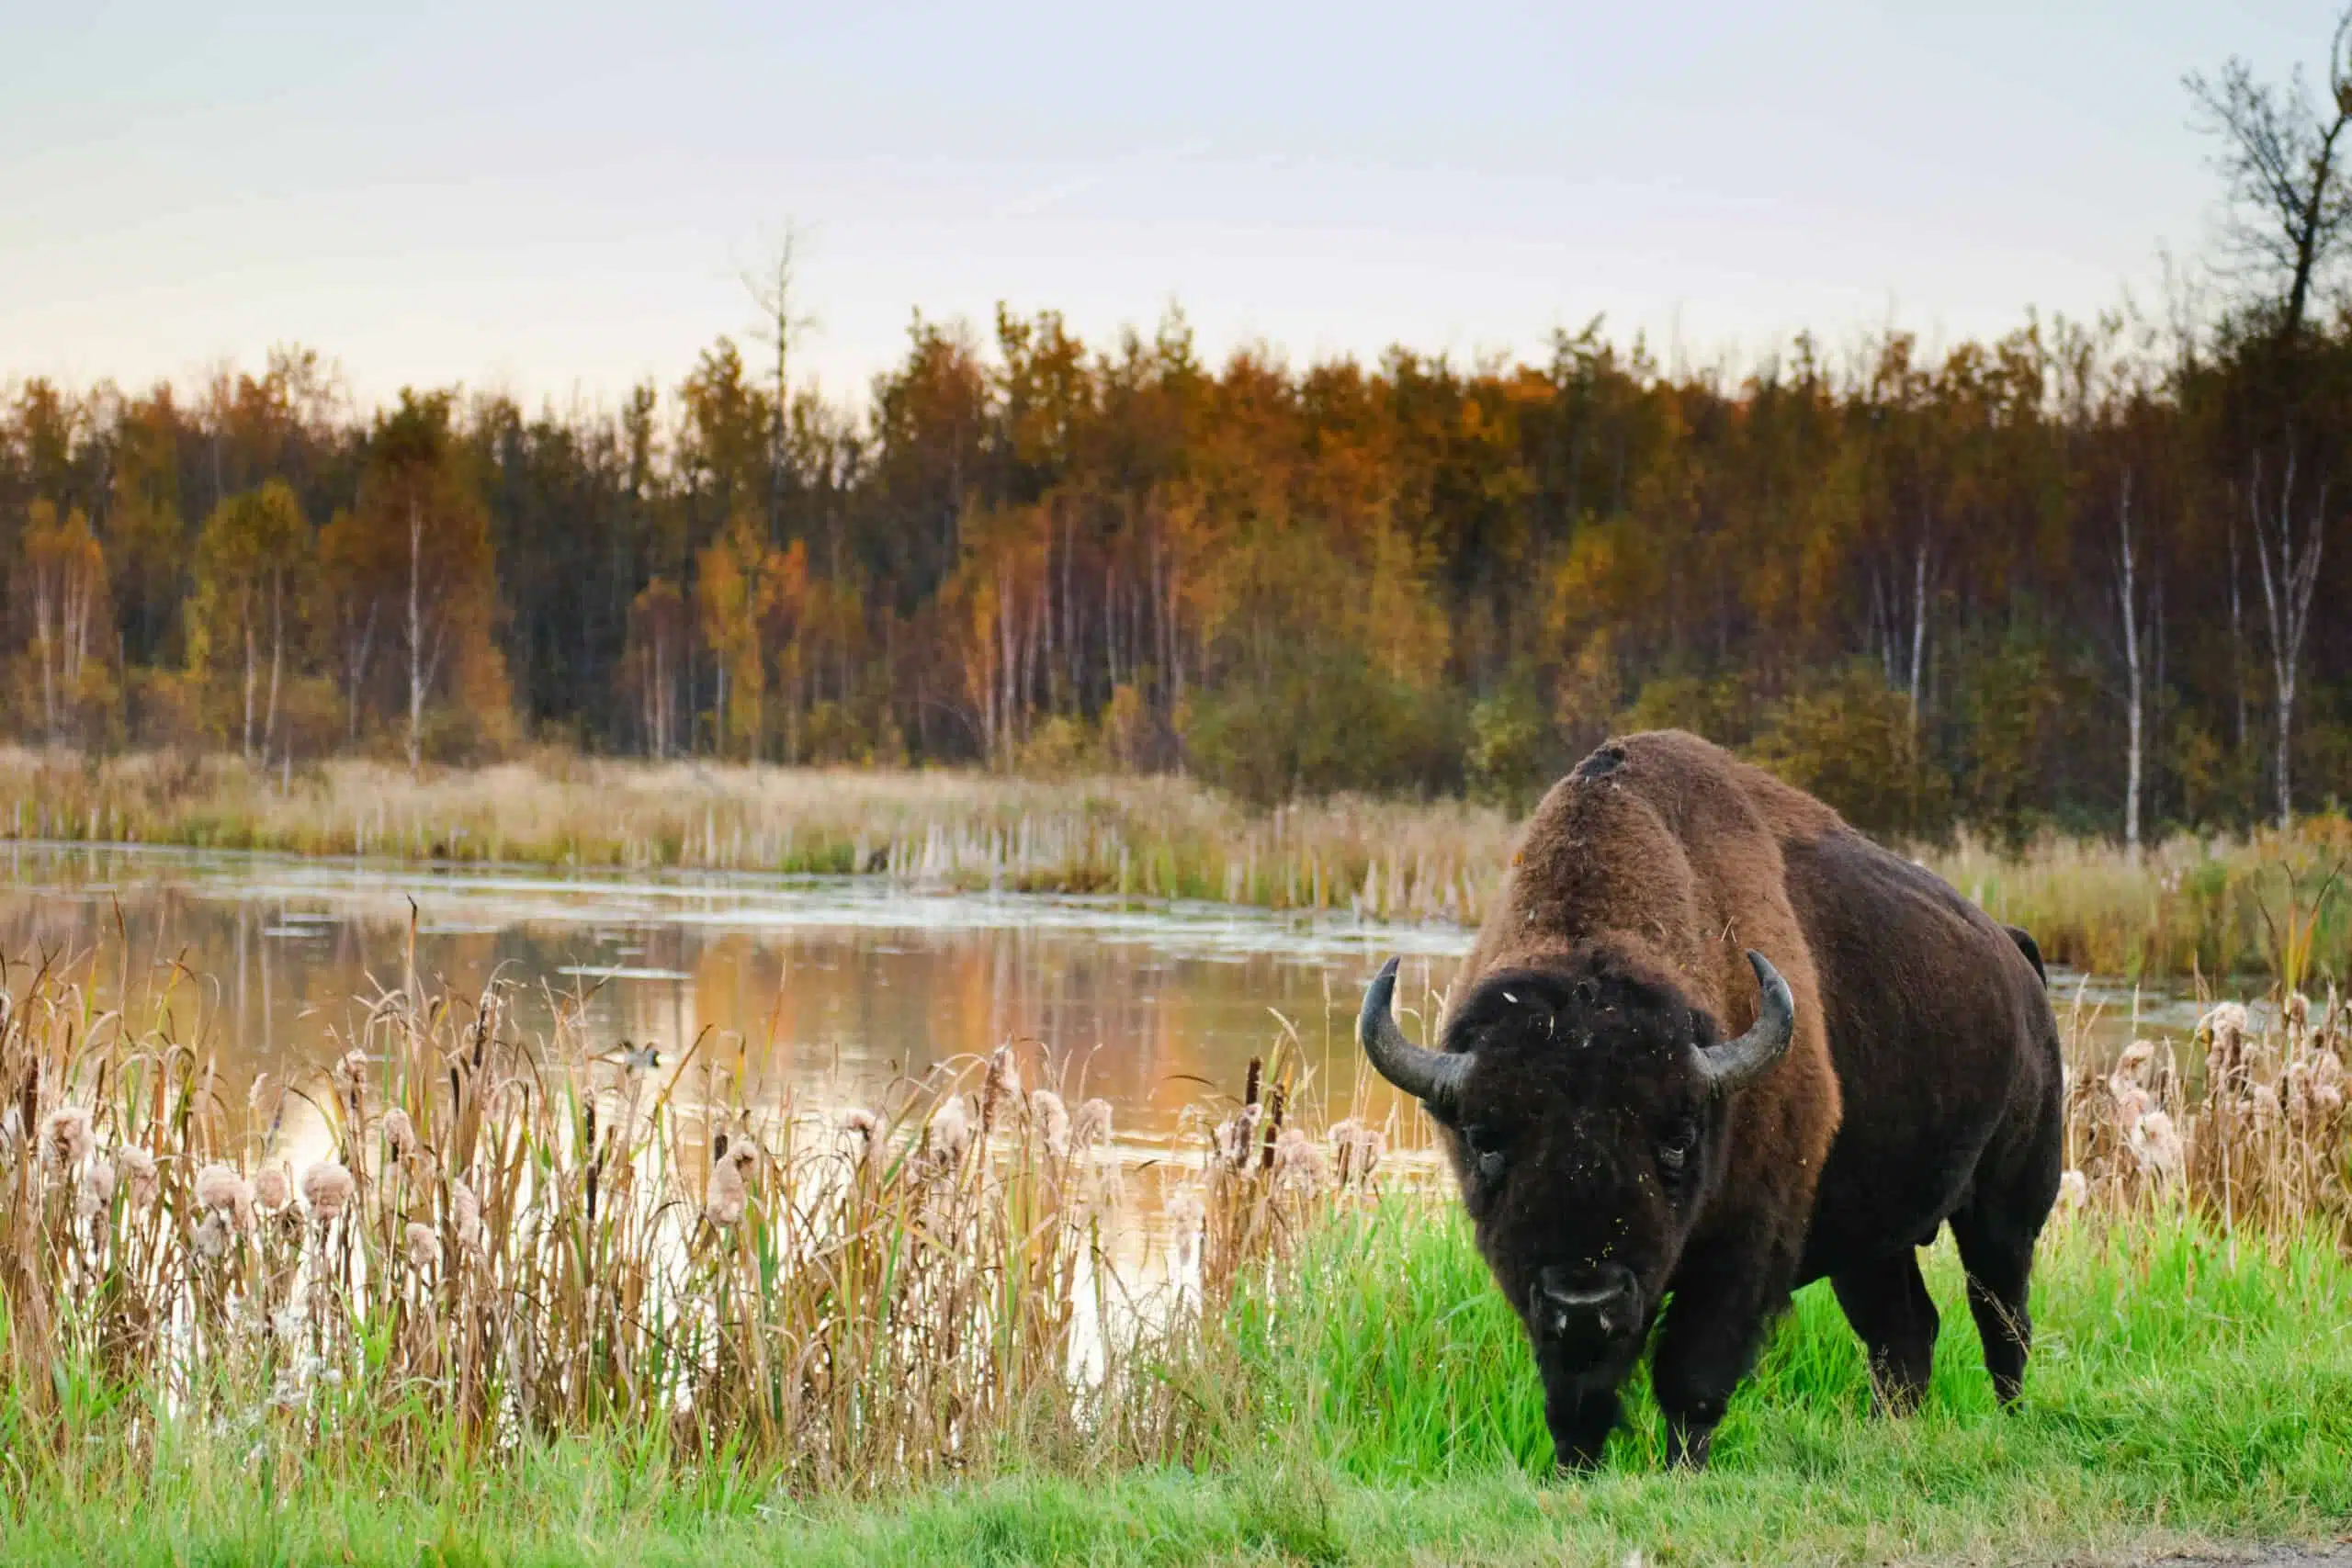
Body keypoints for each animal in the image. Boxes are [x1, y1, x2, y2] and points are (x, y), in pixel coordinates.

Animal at [1363, 733, 2060, 1476]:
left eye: (1677, 1135)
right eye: (1485, 1139)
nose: (1586, 1299)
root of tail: (2016, 955)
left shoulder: (1741, 1248)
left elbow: (1692, 1375)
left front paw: (1682, 1469)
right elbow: (1576, 1395)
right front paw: (1575, 1469)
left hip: (2005, 1209)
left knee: (2002, 1317)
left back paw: (2009, 1421)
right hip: (1875, 1239)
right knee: (1904, 1330)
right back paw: (1889, 1434)